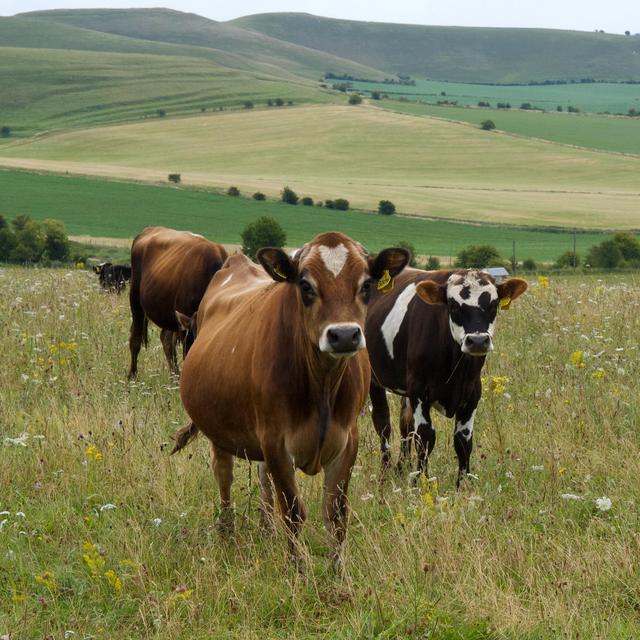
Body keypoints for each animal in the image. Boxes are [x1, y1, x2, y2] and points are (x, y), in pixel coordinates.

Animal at [127, 226, 228, 378]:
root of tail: (149, 229)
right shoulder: (186, 330)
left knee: (166, 340)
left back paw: (174, 376)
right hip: (136, 301)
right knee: (135, 339)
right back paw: (132, 376)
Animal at [175, 232, 408, 564]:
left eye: (366, 285)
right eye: (306, 286)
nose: (344, 335)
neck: (322, 382)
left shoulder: (347, 440)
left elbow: (336, 514)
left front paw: (337, 573)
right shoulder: (276, 442)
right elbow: (293, 511)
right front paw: (298, 568)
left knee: (263, 479)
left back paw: (266, 528)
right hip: (218, 430)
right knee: (224, 476)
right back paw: (227, 533)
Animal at [362, 268, 528, 484]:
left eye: (493, 304)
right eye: (453, 305)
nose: (477, 341)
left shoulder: (472, 394)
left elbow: (463, 441)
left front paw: (463, 485)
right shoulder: (419, 391)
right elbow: (425, 437)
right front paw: (421, 482)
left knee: (404, 423)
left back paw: (402, 467)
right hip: (375, 380)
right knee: (383, 423)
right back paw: (385, 473)